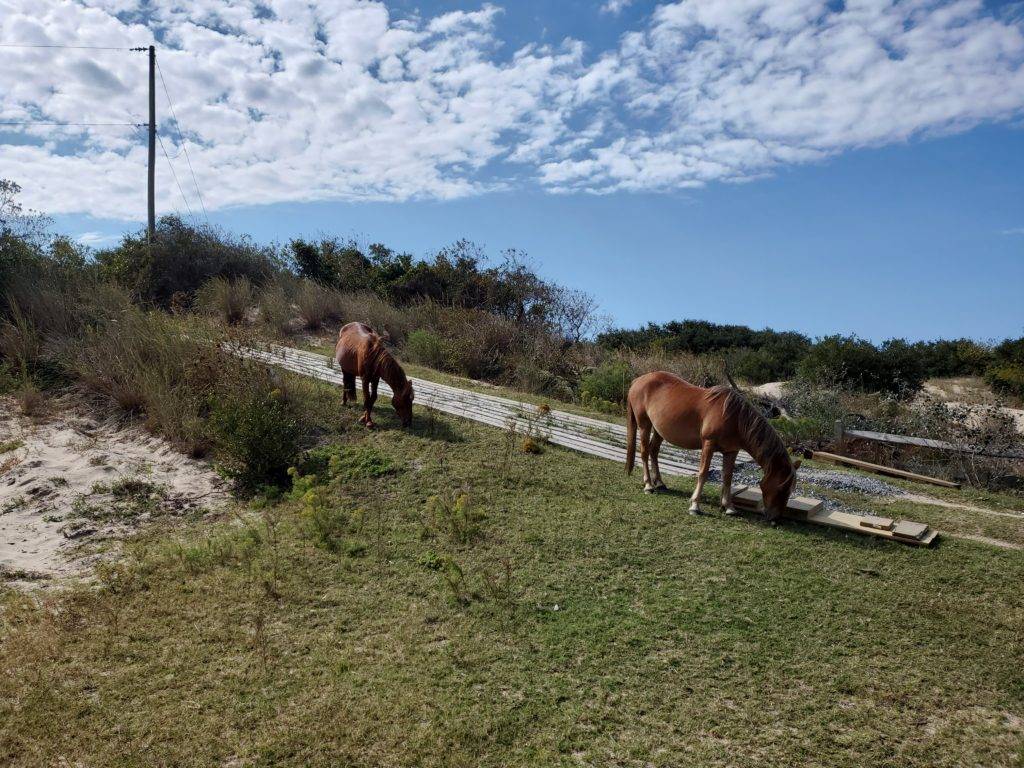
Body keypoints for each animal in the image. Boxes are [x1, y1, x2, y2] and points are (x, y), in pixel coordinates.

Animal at [622, 374, 798, 524]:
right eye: (782, 489)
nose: (776, 519)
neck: (735, 418)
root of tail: (639, 379)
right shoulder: (708, 444)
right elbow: (703, 473)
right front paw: (694, 506)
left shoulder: (731, 451)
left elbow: (727, 477)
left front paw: (729, 507)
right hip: (644, 425)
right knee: (644, 452)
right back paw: (649, 485)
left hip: (659, 430)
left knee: (653, 451)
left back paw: (659, 483)